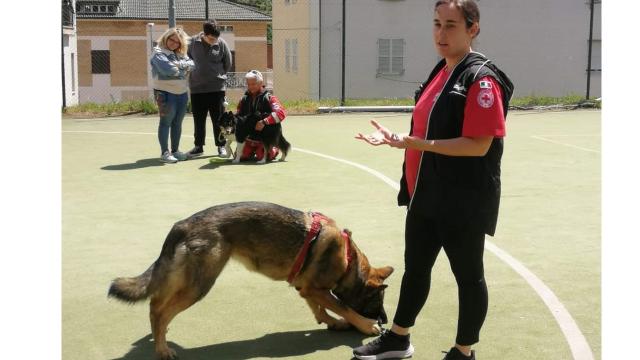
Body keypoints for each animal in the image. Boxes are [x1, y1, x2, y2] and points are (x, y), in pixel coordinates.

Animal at [107, 201, 392, 358]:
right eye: (377, 300)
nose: (385, 320)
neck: (348, 259)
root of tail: (182, 224)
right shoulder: (317, 289)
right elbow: (342, 306)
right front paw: (366, 326)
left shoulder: (307, 288)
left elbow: (320, 309)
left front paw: (333, 322)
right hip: (200, 284)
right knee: (159, 310)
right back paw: (162, 350)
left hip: (185, 280)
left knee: (156, 303)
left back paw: (161, 339)